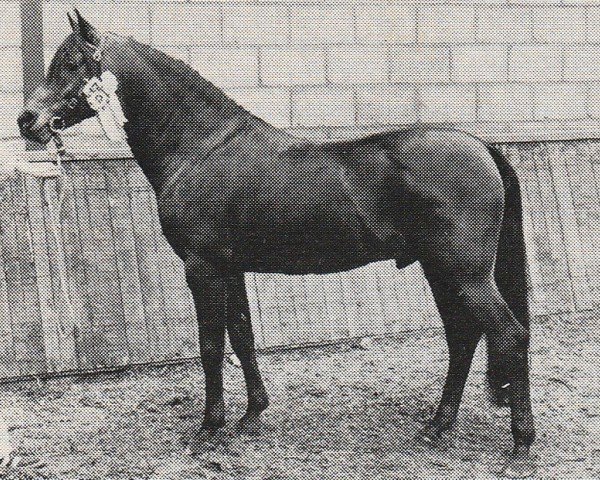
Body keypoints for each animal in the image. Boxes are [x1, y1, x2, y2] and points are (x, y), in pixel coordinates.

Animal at [17, 10, 536, 476]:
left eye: (70, 64)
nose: (27, 121)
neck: (201, 145)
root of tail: (478, 144)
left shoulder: (203, 268)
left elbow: (211, 345)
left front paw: (209, 430)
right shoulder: (230, 268)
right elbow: (242, 336)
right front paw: (251, 416)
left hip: (463, 272)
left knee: (508, 334)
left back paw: (520, 445)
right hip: (440, 269)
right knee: (463, 335)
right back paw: (437, 427)